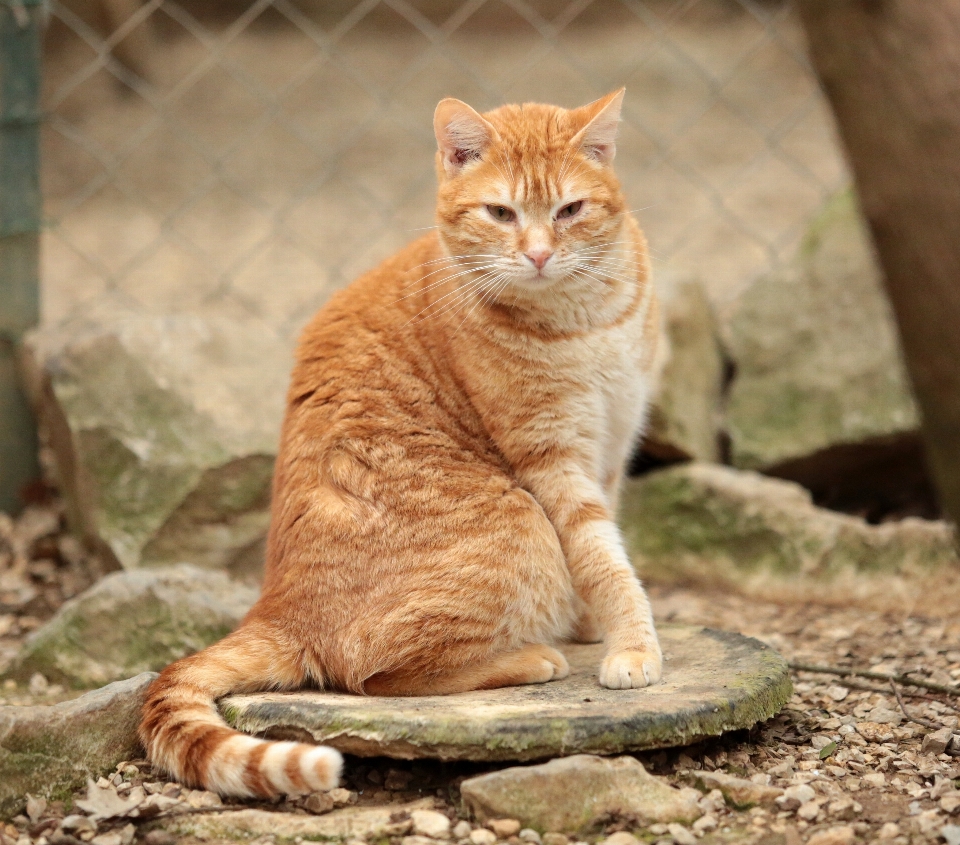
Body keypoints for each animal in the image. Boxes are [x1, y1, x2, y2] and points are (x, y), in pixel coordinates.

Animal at [141, 89, 660, 796]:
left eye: (570, 210)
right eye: (501, 213)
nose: (538, 254)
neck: (584, 316)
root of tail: (275, 609)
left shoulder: (613, 441)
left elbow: (605, 552)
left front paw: (594, 627)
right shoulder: (552, 460)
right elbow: (603, 559)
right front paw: (632, 644)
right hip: (519, 523)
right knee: (368, 675)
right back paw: (527, 657)